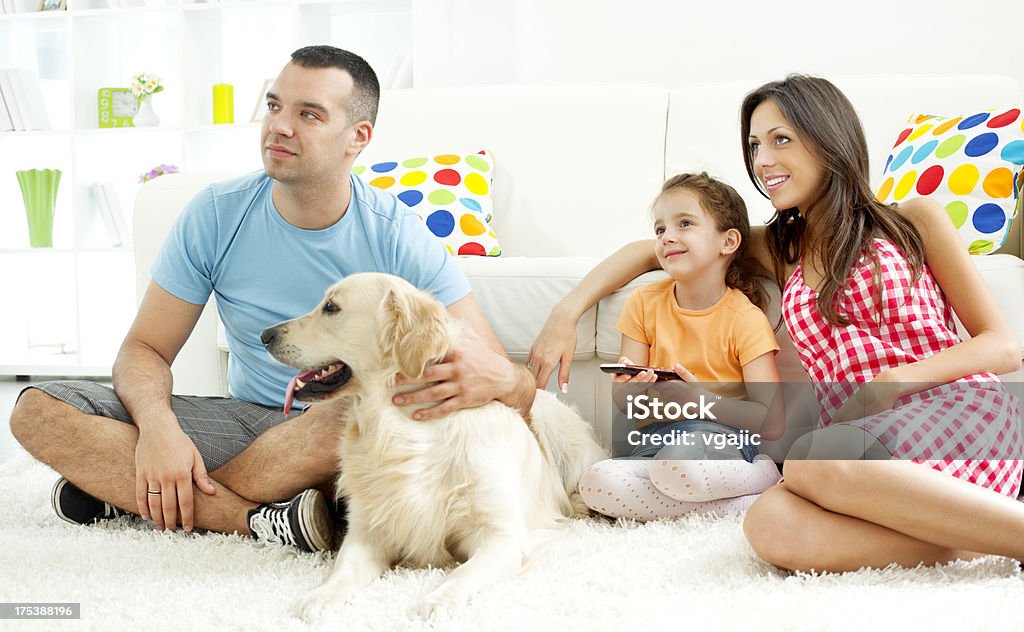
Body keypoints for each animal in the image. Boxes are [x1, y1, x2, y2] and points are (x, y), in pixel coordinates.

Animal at [260, 270, 606, 614]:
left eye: (331, 307)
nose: (264, 334)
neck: (398, 426)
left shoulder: (501, 535)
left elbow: (463, 574)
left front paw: (438, 601)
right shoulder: (367, 529)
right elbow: (344, 571)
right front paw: (320, 597)